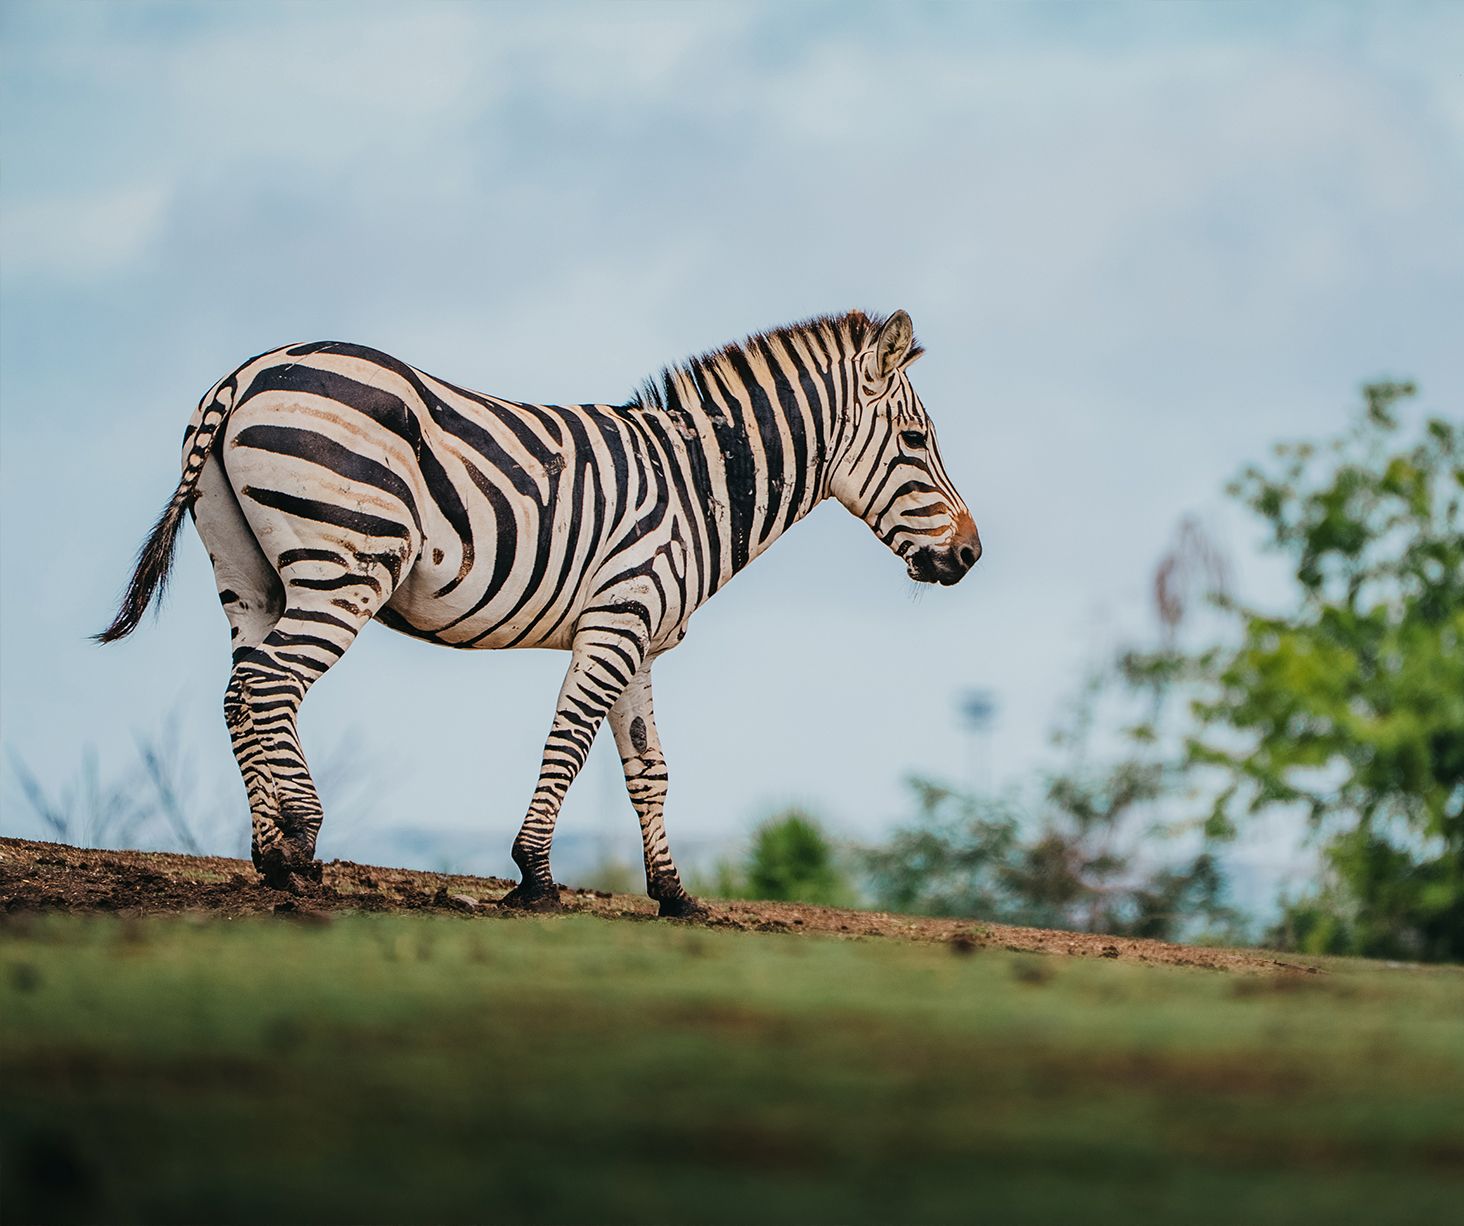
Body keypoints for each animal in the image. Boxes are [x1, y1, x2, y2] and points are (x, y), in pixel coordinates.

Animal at [98, 309, 981, 914]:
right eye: (915, 441)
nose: (971, 555)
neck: (699, 486)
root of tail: (246, 374)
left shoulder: (641, 636)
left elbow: (649, 769)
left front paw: (674, 895)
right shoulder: (617, 618)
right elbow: (570, 741)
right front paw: (535, 875)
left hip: (249, 575)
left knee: (239, 690)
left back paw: (264, 850)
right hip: (344, 563)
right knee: (271, 686)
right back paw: (301, 846)